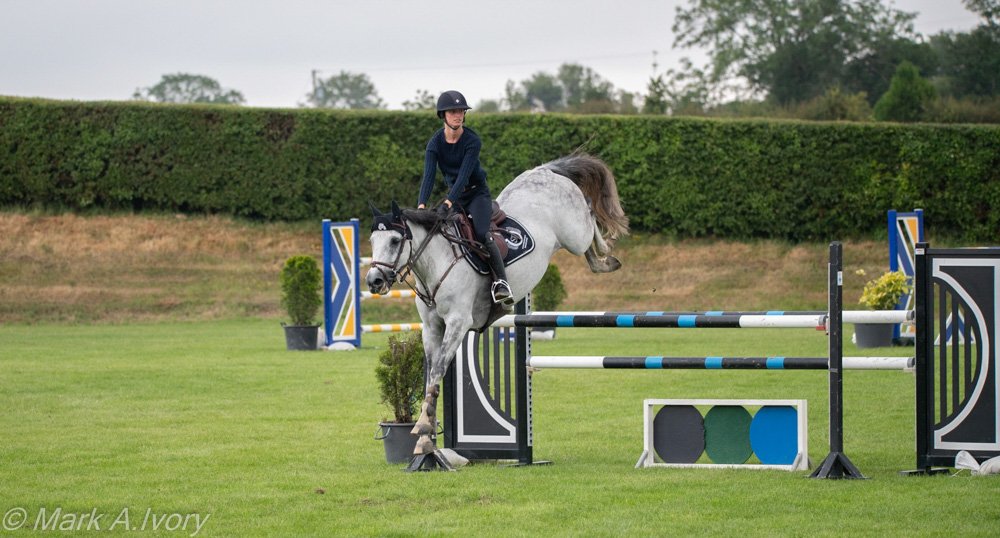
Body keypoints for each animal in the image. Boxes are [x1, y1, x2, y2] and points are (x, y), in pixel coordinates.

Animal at [366, 153, 628, 469]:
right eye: (372, 241)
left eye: (395, 241)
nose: (374, 281)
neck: (436, 262)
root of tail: (545, 171)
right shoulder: (432, 328)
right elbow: (431, 376)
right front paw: (425, 442)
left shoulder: (458, 323)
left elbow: (438, 370)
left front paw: (423, 432)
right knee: (588, 241)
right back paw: (602, 260)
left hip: (574, 233)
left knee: (590, 216)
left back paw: (607, 256)